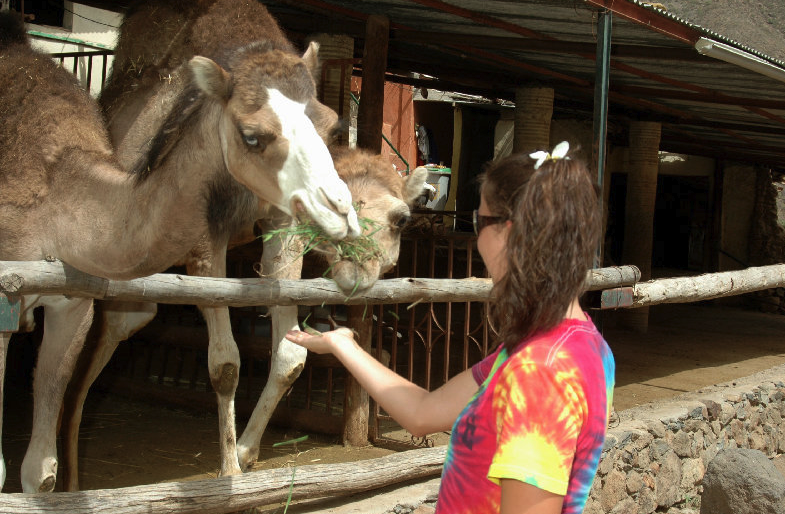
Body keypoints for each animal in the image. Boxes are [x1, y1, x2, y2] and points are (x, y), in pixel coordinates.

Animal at [0, 8, 359, 493]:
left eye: (332, 126)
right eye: (252, 136)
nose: (338, 207)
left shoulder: (284, 222)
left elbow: (290, 357)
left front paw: (245, 456)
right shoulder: (205, 236)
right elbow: (225, 363)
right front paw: (227, 471)